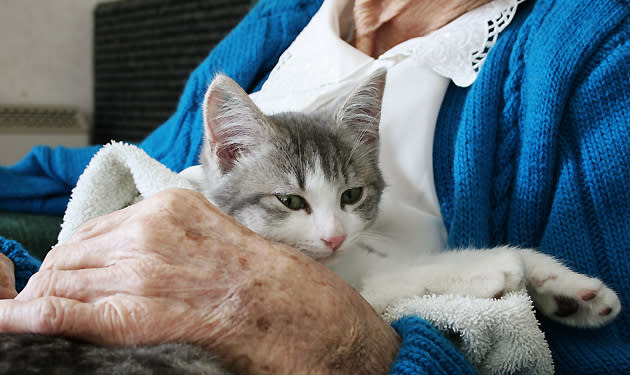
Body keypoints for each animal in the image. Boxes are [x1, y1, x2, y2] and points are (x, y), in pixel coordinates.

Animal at [0, 70, 624, 374]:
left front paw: (569, 288)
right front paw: (492, 269)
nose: (333, 235)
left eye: (351, 194)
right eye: (291, 200)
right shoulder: (341, 285)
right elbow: (390, 284)